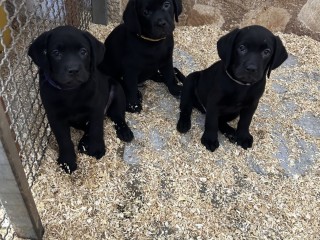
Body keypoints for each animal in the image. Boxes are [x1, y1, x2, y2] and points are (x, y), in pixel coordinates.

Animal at [27, 26, 132, 172]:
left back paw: (124, 132)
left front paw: (96, 149)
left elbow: (96, 129)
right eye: (56, 53)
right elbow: (64, 140)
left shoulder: (96, 109)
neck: (71, 92)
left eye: (83, 52)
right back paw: (83, 142)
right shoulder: (55, 117)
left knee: (118, 117)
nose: (73, 70)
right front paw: (67, 161)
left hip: (117, 91)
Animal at [176, 24, 288, 152]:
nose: (251, 68)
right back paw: (184, 123)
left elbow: (245, 121)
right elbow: (211, 122)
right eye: (241, 48)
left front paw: (243, 137)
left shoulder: (252, 104)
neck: (241, 85)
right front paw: (210, 139)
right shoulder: (214, 103)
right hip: (190, 81)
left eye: (267, 52)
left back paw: (231, 133)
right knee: (186, 108)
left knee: (221, 121)